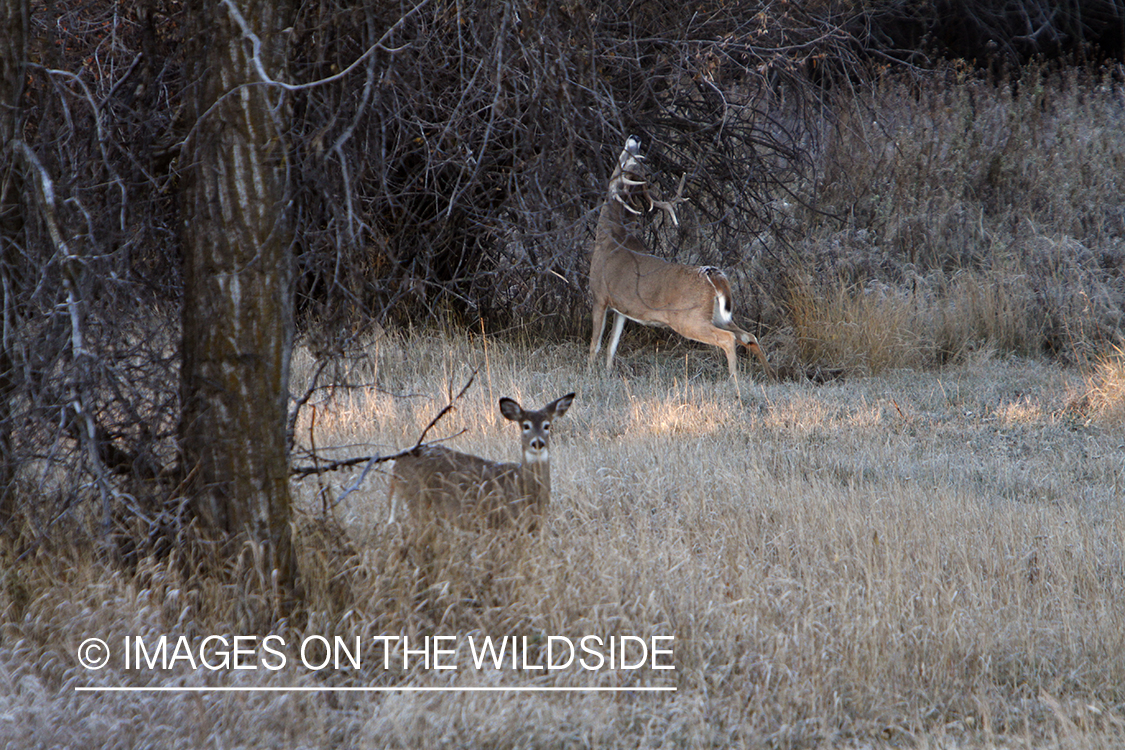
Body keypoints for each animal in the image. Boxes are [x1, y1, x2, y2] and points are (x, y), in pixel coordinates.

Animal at [389, 395, 580, 530]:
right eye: (525, 425)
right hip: (416, 499)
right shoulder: (501, 520)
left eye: (547, 425)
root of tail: (396, 464)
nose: (538, 443)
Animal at [589, 135, 774, 382]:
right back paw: (770, 375)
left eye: (627, 161)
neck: (610, 237)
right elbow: (612, 345)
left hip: (689, 319)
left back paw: (734, 379)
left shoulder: (600, 295)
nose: (635, 138)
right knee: (748, 335)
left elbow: (596, 345)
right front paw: (608, 373)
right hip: (717, 314)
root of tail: (712, 276)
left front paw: (587, 373)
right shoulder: (622, 307)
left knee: (728, 338)